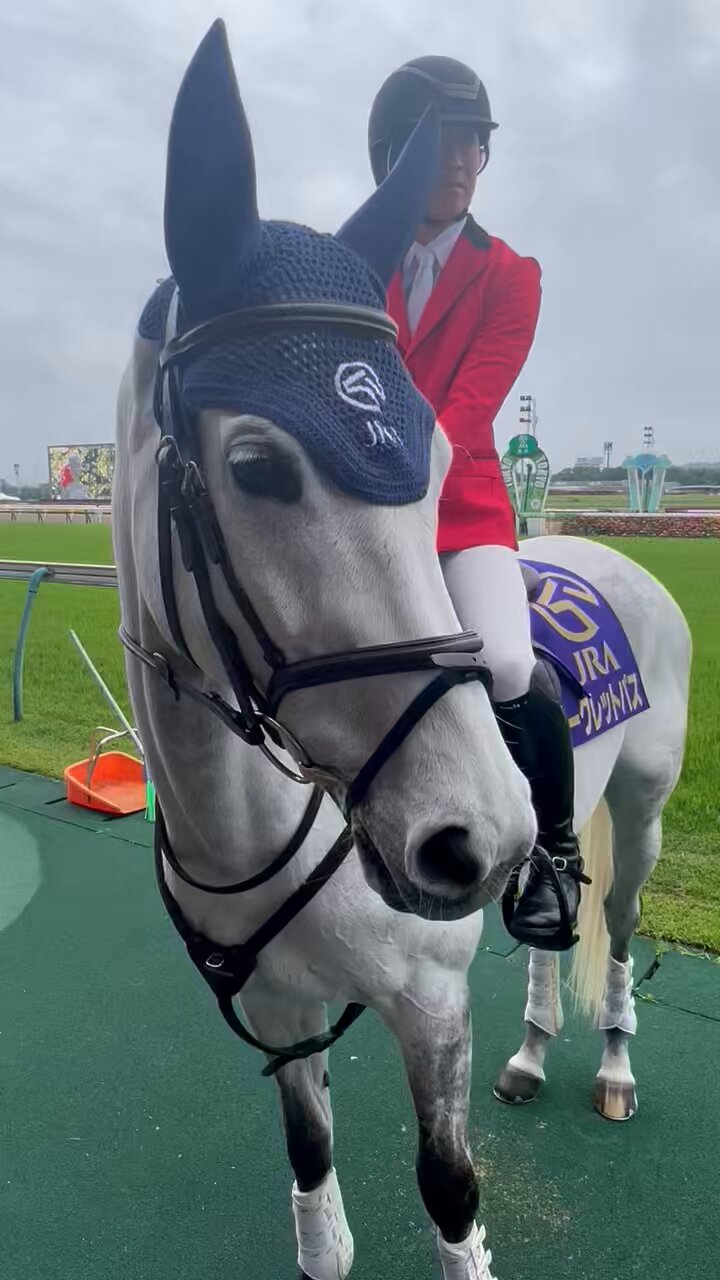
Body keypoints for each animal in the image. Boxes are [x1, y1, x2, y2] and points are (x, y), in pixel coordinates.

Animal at [112, 22, 691, 1280]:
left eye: (430, 462)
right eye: (256, 465)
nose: (472, 837)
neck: (252, 825)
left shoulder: (429, 1003)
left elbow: (451, 1196)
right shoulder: (283, 1019)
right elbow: (317, 1205)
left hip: (644, 806)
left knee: (618, 926)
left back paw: (615, 1066)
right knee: (552, 922)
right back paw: (531, 1050)